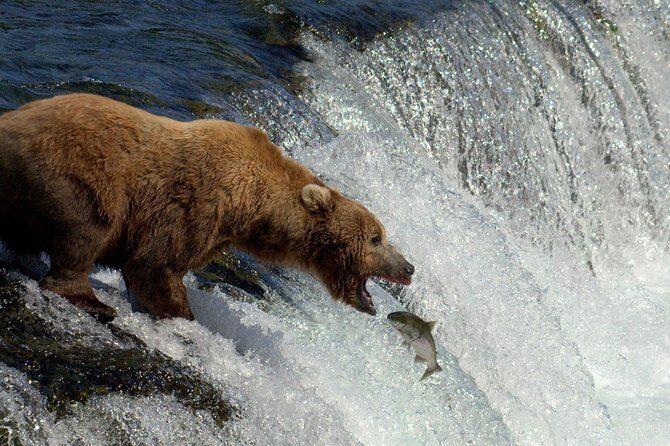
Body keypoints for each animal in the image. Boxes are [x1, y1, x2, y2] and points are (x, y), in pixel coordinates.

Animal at [0, 93, 414, 322]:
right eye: (376, 238)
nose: (409, 267)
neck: (253, 209)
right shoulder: (195, 203)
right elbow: (153, 266)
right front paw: (182, 314)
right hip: (74, 172)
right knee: (86, 229)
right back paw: (91, 301)